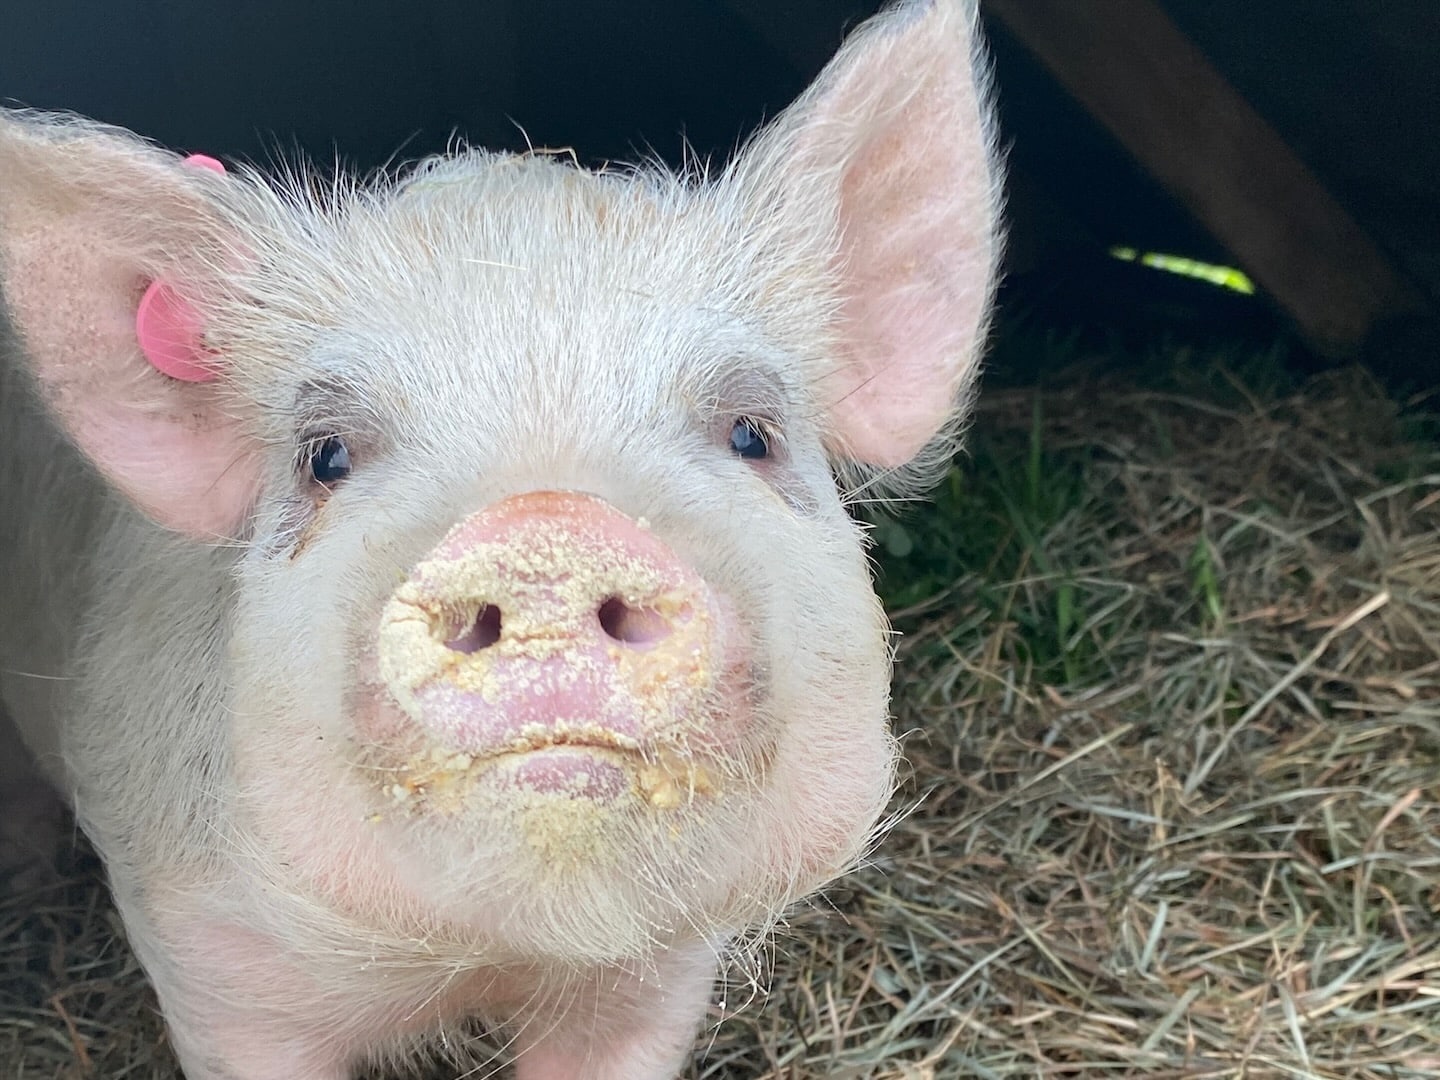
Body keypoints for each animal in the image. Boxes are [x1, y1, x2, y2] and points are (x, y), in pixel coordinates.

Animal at [0, 4, 1008, 1077]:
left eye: (752, 434)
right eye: (326, 458)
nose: (547, 532)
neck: (489, 956)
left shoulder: (657, 977)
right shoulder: (207, 954)